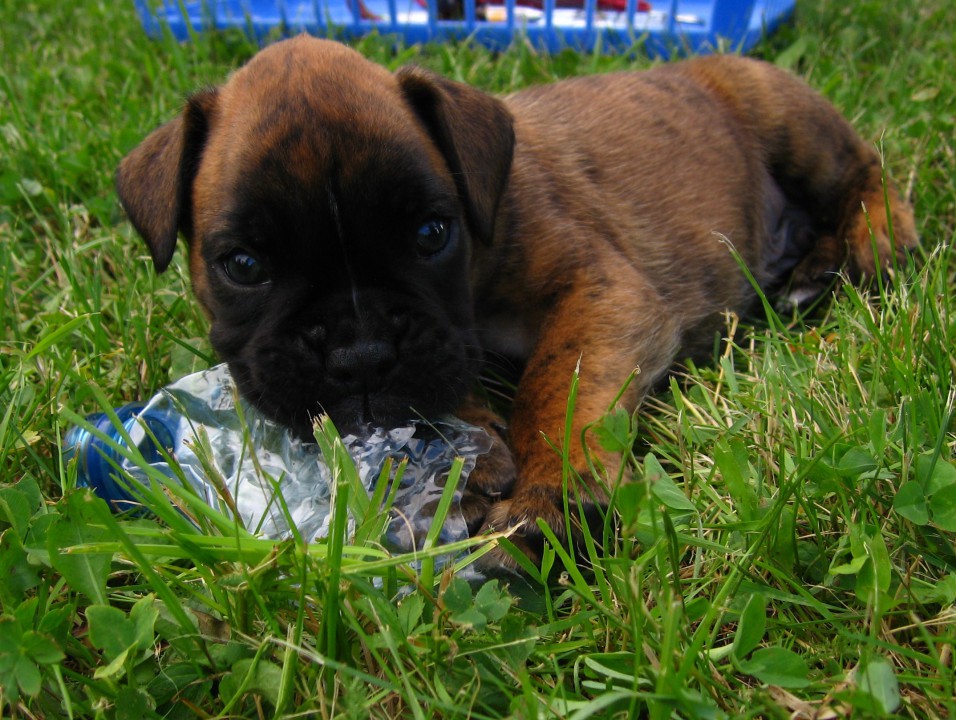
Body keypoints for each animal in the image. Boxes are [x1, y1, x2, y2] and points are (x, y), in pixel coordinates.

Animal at [117, 36, 920, 568]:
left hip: (782, 114)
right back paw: (811, 264)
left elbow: (555, 384)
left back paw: (871, 242)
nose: (361, 355)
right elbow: (453, 381)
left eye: (431, 232)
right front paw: (468, 461)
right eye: (244, 265)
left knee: (869, 168)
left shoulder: (600, 290)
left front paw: (552, 493)